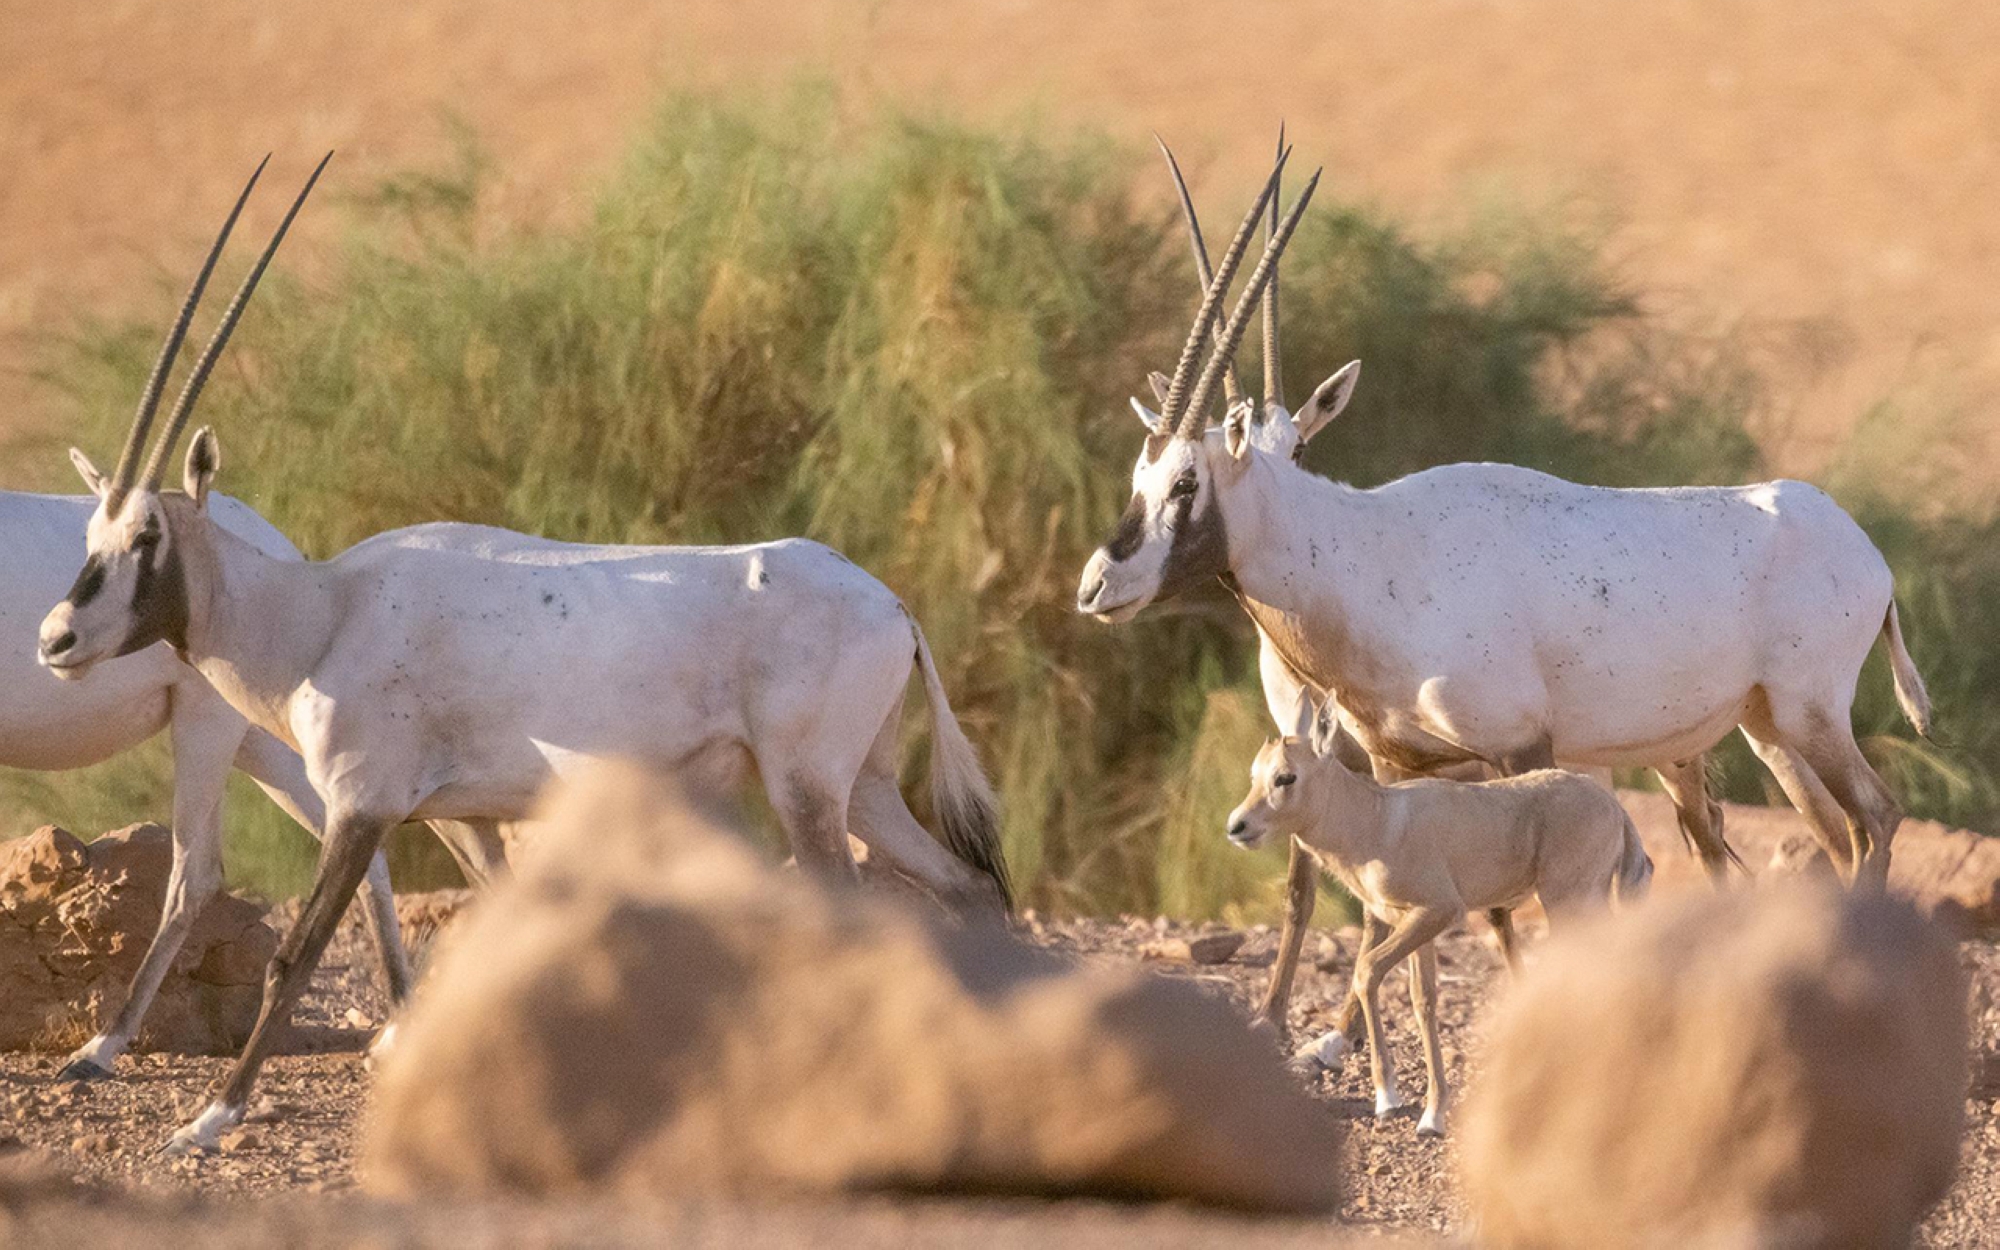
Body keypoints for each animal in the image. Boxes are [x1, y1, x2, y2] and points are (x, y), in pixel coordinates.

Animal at [1224, 692, 1648, 1128]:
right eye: (1255, 774)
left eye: (1285, 777)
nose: (1237, 826)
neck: (1376, 820)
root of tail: (1616, 811)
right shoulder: (1412, 922)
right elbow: (1422, 1000)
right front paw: (1431, 1114)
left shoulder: (1438, 911)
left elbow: (1366, 970)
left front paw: (1388, 1098)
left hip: (1567, 898)